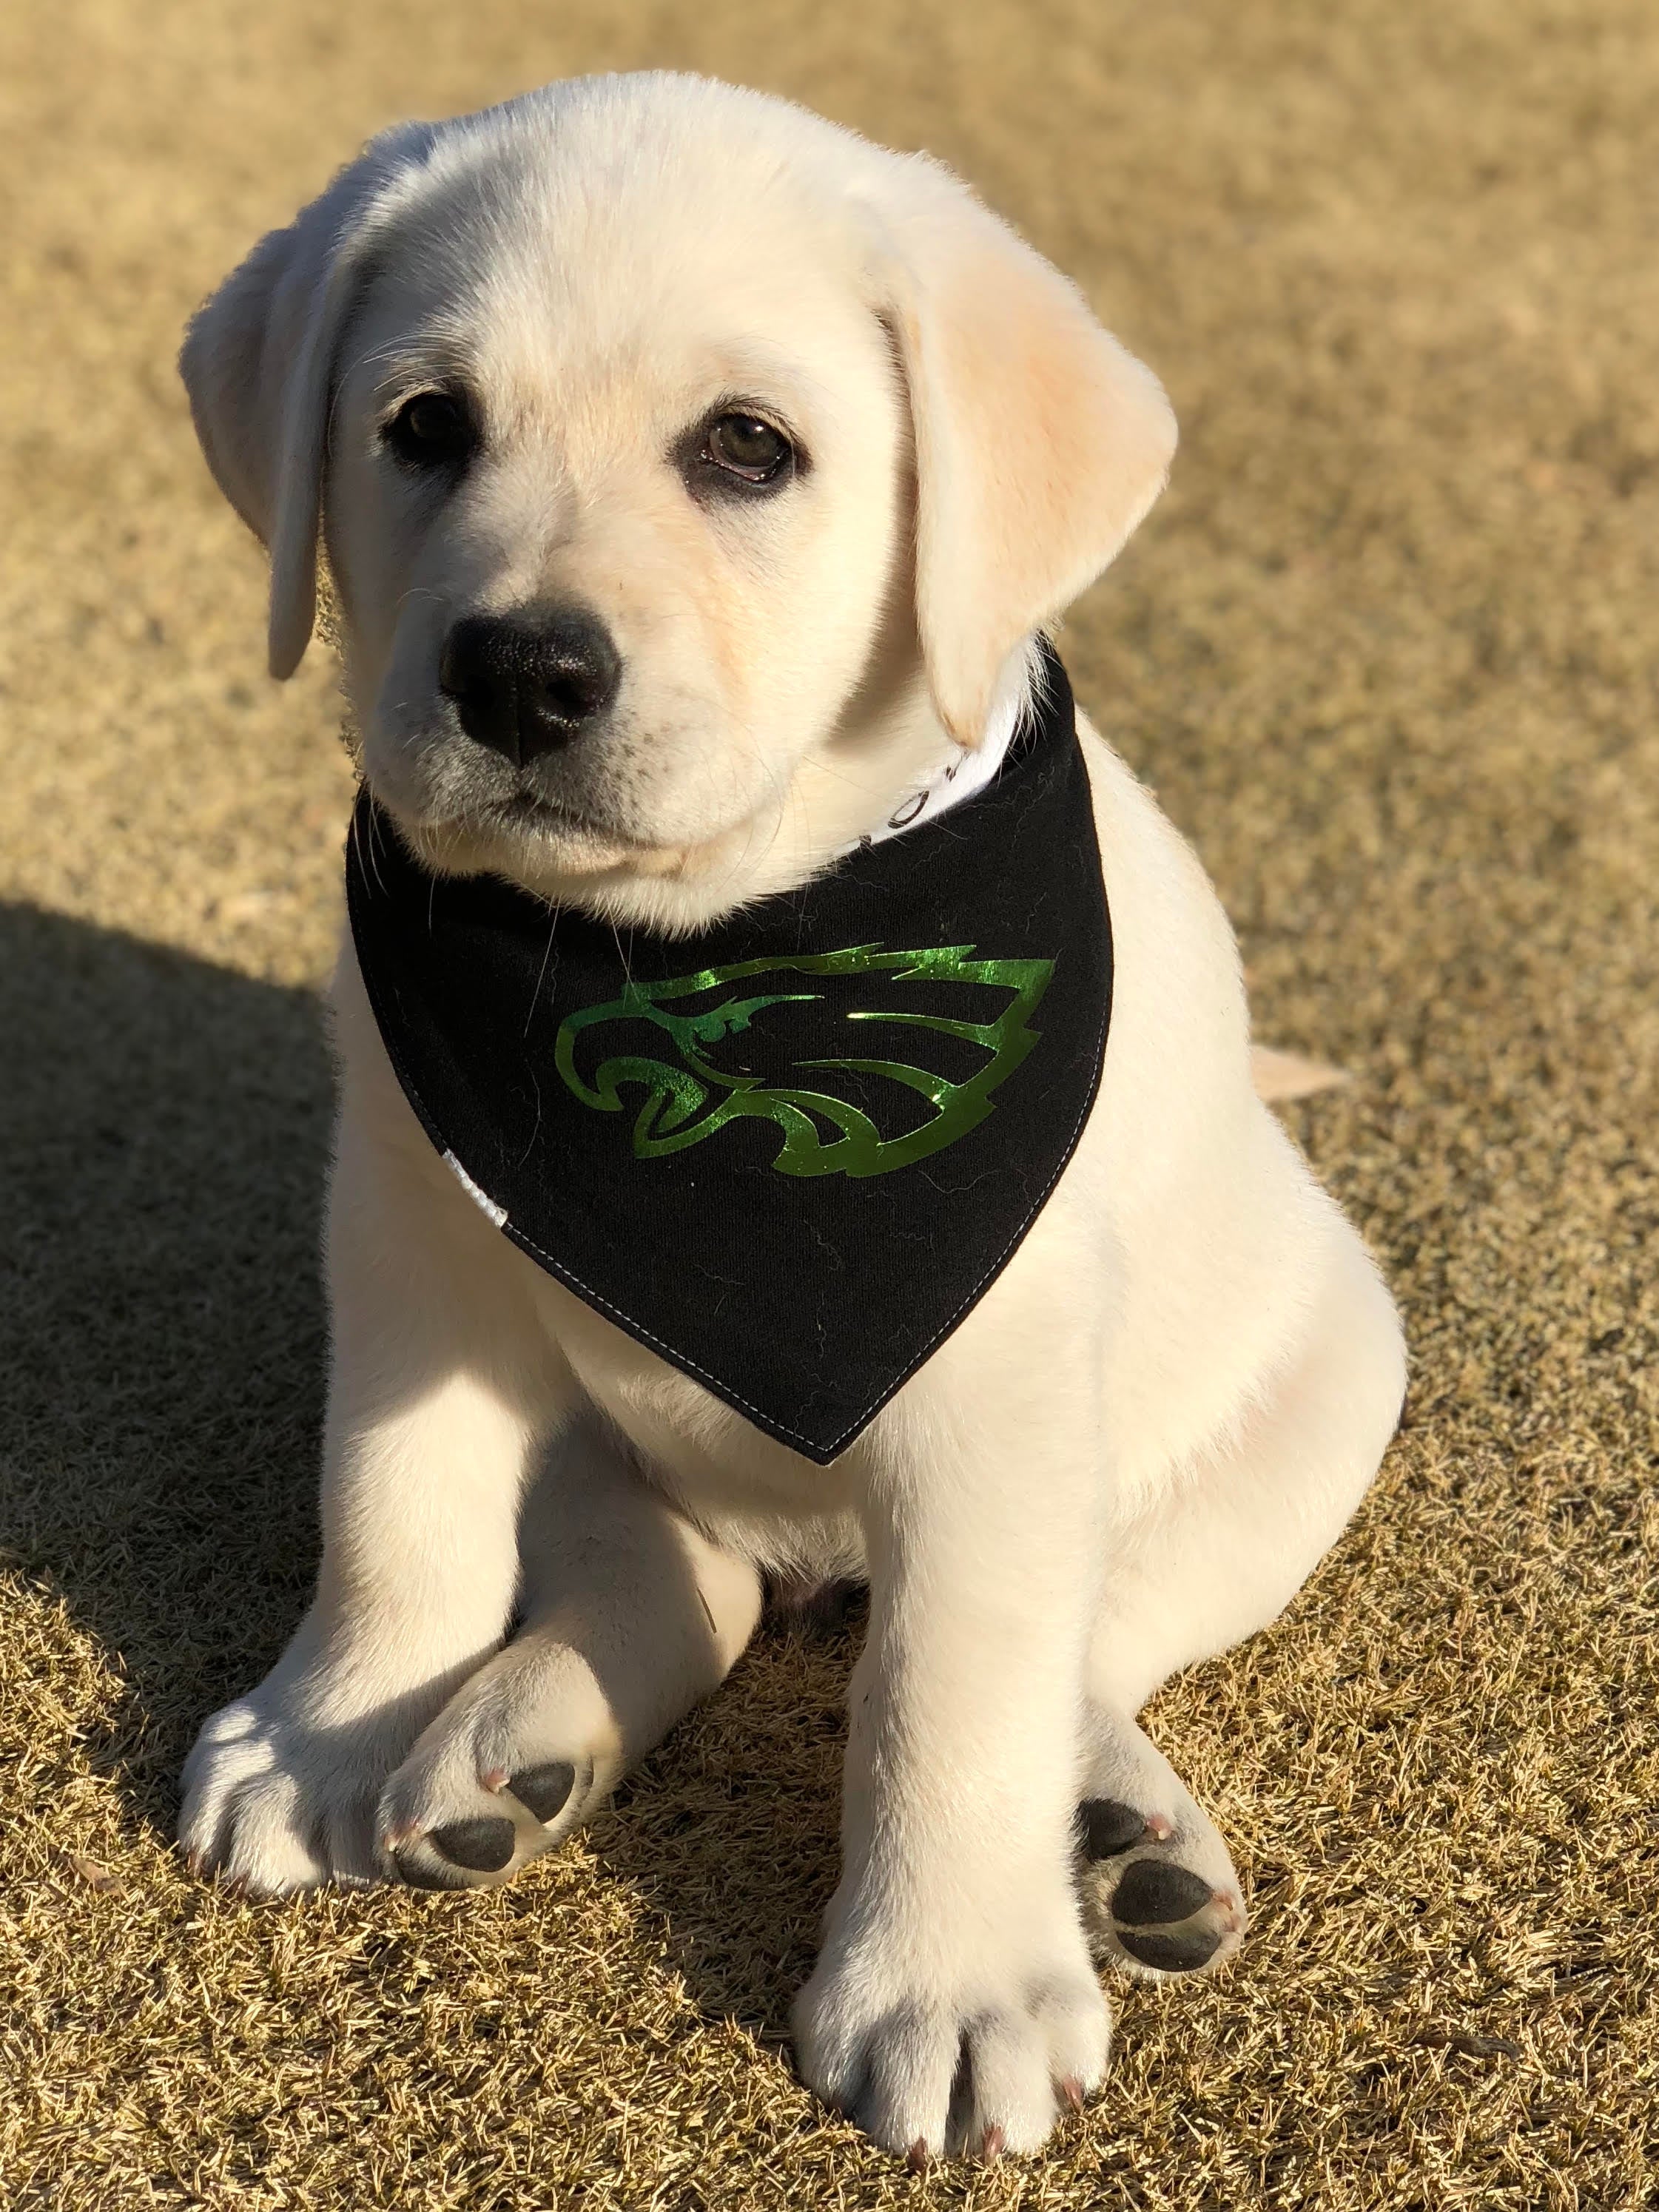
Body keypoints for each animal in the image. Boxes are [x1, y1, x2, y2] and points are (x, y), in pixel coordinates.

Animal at [179, 73, 1407, 2159]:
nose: (520, 672)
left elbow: (951, 1684)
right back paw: (505, 1750)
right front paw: (330, 1722)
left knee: (1089, 1630)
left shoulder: (991, 1368)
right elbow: (395, 1504)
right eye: (422, 428)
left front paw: (948, 1978)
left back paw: (1110, 1827)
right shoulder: (411, 1229)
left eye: (747, 449)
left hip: (1321, 1396)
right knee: (682, 1585)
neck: (673, 949)